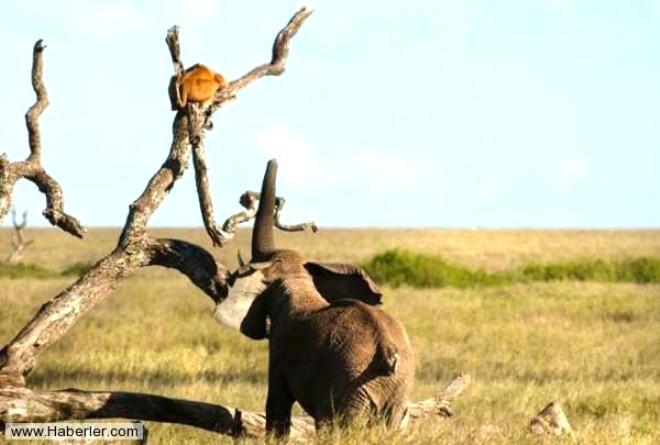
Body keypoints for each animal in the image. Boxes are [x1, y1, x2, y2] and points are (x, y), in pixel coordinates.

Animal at [214, 160, 416, 438]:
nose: (246, 196)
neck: (299, 282)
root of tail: (386, 351)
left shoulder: (280, 348)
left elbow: (277, 406)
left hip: (351, 383)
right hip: (396, 388)